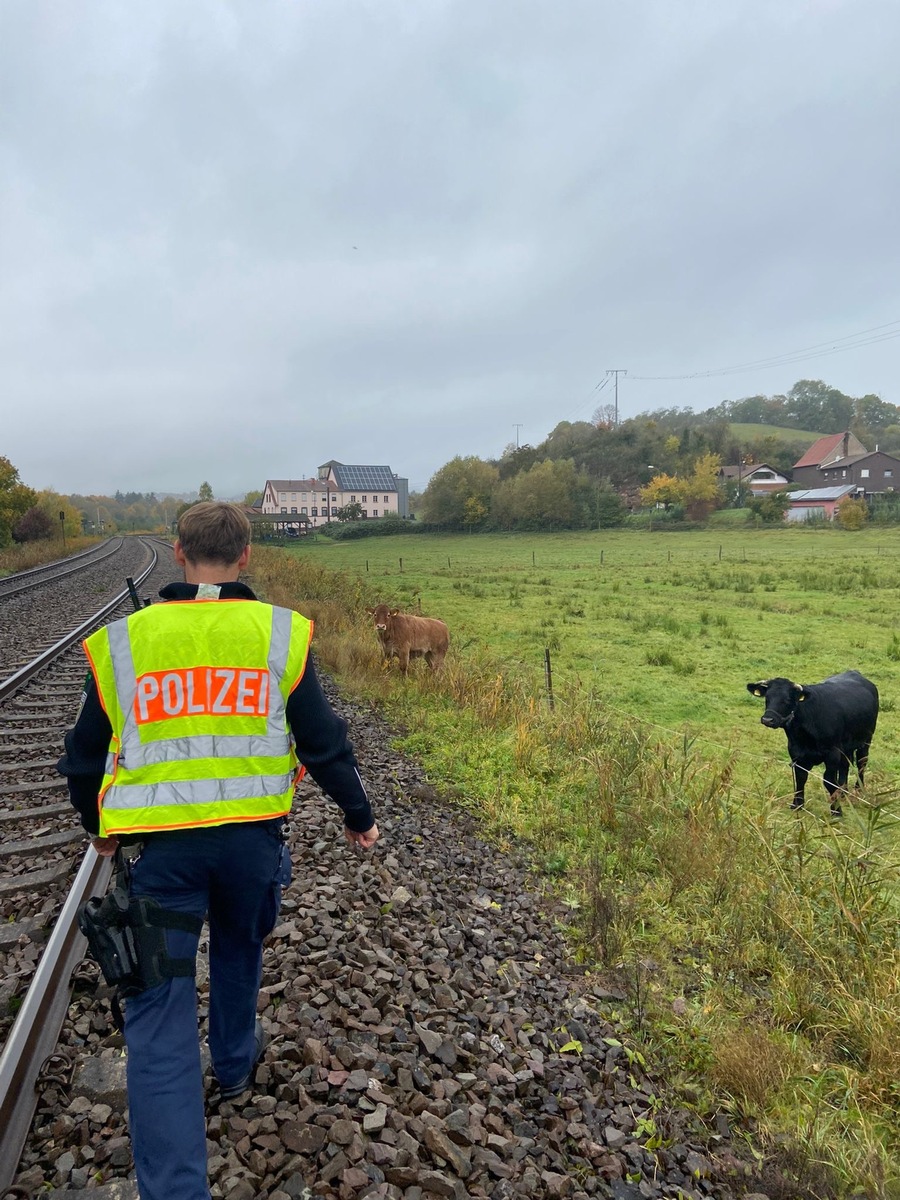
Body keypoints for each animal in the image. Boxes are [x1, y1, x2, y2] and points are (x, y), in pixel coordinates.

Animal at [748, 676, 883, 816]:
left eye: (787, 699)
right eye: (767, 698)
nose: (767, 719)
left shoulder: (832, 753)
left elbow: (829, 781)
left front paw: (836, 810)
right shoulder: (796, 752)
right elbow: (800, 777)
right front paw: (797, 804)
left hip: (866, 740)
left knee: (862, 762)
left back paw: (858, 789)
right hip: (846, 746)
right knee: (845, 764)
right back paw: (842, 791)